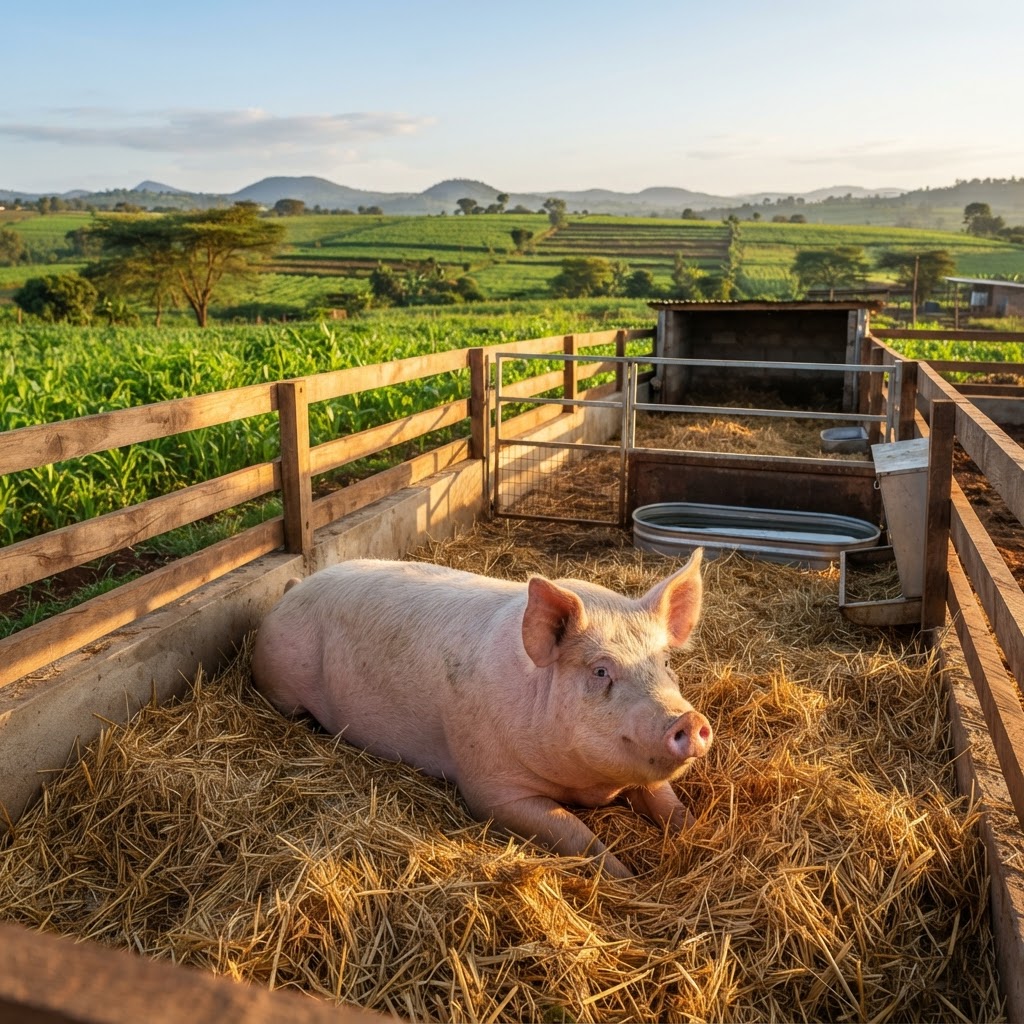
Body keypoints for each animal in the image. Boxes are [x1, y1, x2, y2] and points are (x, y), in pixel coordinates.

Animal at [251, 550, 712, 879]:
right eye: (600, 671)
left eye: (665, 662)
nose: (688, 720)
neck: (589, 787)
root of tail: (294, 586)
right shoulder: (490, 787)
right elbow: (574, 833)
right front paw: (628, 878)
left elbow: (672, 807)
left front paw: (701, 839)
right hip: (280, 684)